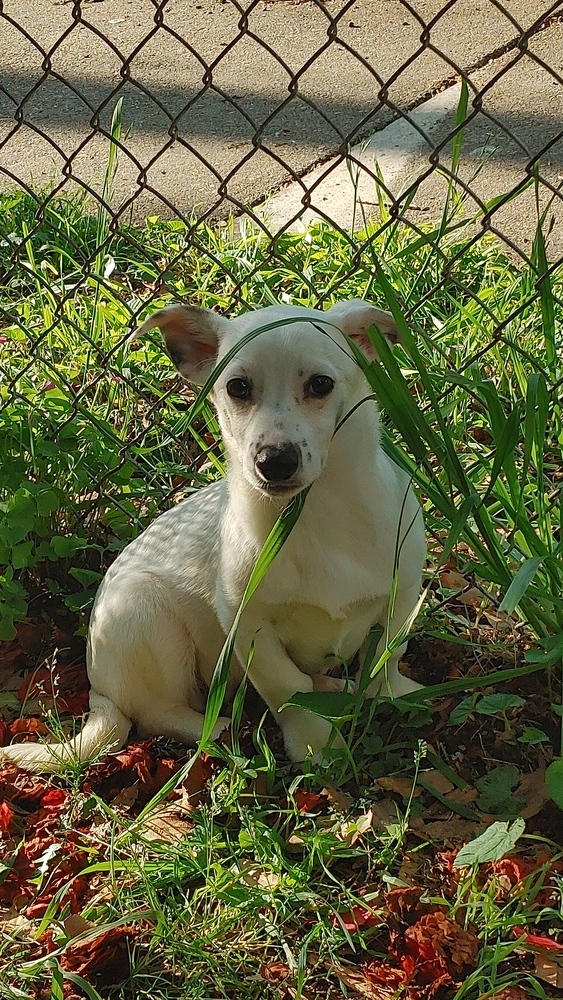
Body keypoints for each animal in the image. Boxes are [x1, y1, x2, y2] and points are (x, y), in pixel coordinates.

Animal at [0, 294, 424, 764]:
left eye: (321, 384)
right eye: (238, 388)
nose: (275, 461)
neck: (316, 514)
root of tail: (101, 695)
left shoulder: (405, 592)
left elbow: (387, 655)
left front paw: (392, 694)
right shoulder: (248, 621)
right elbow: (288, 688)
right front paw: (316, 744)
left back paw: (335, 685)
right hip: (144, 612)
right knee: (155, 713)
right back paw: (217, 729)